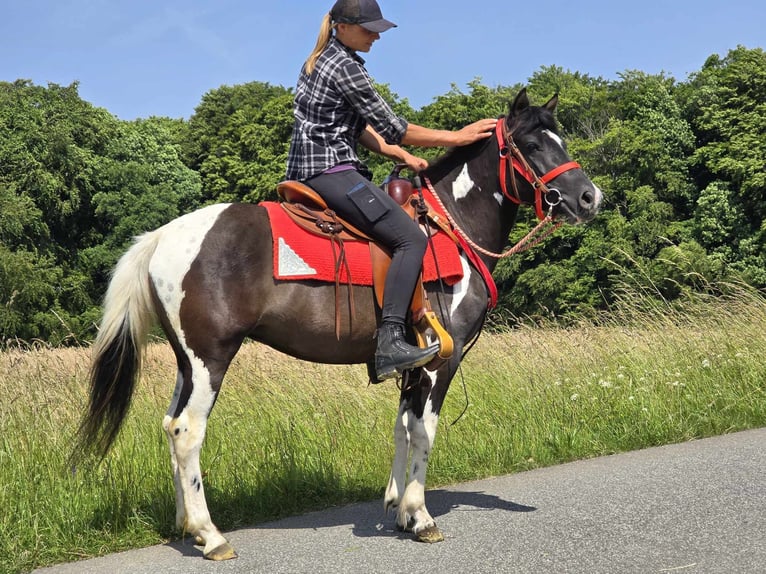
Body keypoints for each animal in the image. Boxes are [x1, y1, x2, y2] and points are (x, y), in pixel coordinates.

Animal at [75, 88, 602, 560]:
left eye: (561, 139)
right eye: (531, 144)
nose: (589, 197)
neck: (450, 226)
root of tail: (162, 236)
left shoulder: (411, 362)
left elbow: (402, 428)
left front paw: (399, 510)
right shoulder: (439, 363)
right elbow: (424, 432)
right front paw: (421, 516)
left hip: (187, 362)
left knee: (169, 425)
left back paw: (187, 526)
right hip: (211, 357)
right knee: (187, 431)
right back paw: (212, 535)